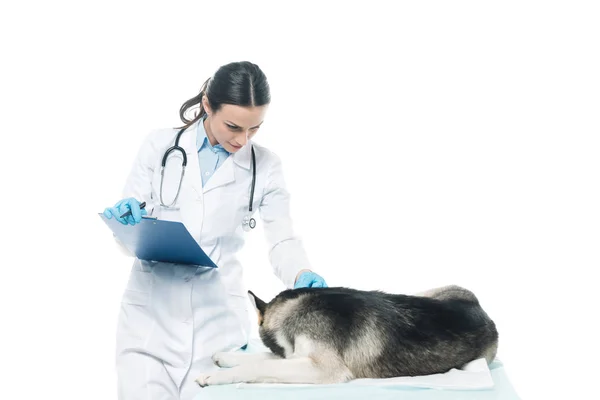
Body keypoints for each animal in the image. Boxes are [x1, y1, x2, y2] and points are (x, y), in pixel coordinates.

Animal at [196, 284, 496, 388]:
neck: (297, 308)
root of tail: (485, 314)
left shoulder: (324, 368)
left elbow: (260, 366)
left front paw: (214, 375)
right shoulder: (298, 357)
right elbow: (261, 359)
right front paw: (224, 357)